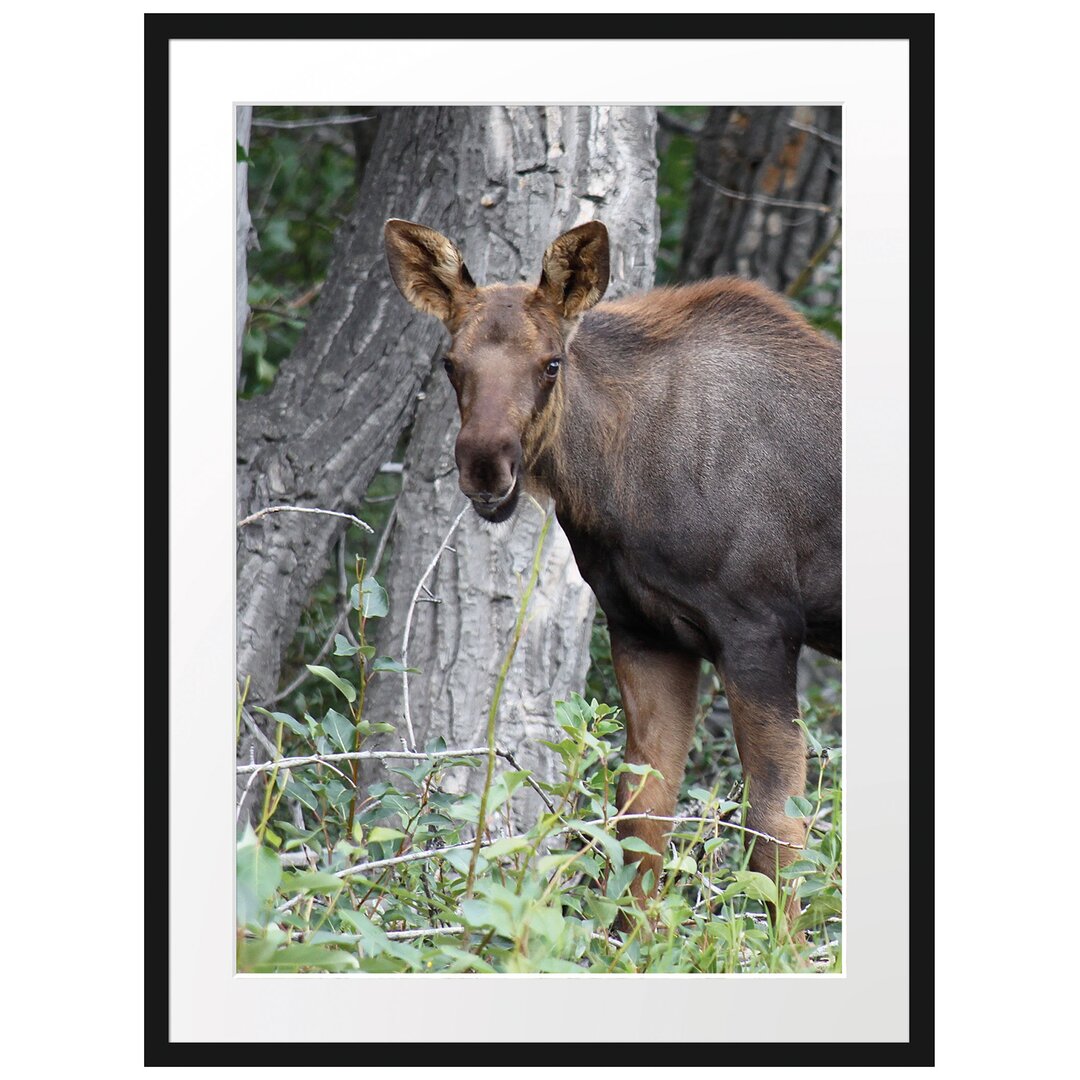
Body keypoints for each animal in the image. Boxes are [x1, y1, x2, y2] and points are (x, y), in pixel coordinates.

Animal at [384, 219, 838, 920]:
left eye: (552, 363)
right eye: (450, 364)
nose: (486, 466)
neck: (613, 486)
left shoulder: (762, 629)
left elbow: (775, 839)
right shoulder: (644, 630)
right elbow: (638, 828)